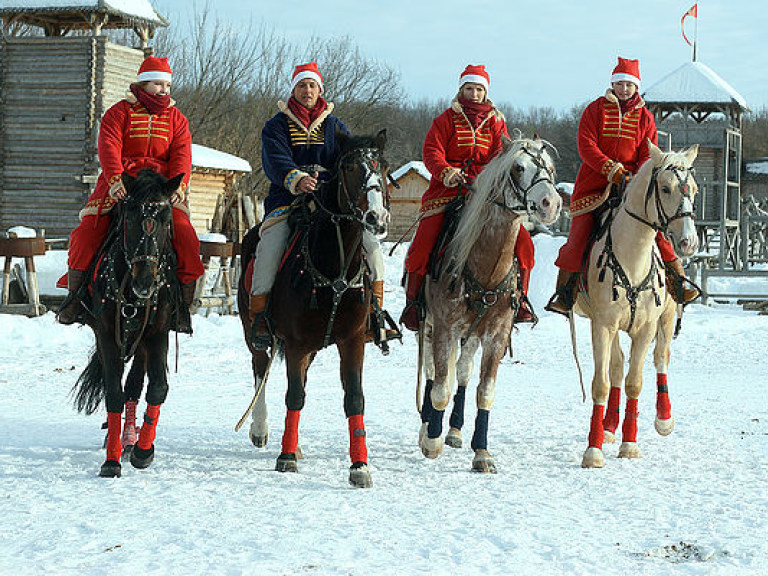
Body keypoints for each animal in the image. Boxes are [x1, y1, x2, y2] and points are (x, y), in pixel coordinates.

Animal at [236, 129, 390, 486]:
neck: (335, 271)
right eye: (349, 166)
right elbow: (294, 395)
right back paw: (261, 430)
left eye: (384, 166)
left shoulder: (351, 342)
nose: (376, 218)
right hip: (255, 335)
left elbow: (354, 398)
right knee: (260, 369)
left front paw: (359, 466)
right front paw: (286, 457)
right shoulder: (295, 343)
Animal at [416, 136, 560, 472]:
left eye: (549, 165)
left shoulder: (496, 335)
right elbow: (439, 387)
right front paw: (431, 440)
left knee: (463, 372)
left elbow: (485, 391)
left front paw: (481, 452)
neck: (485, 267)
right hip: (428, 326)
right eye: (519, 167)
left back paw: (454, 430)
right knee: (431, 373)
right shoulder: (444, 328)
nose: (551, 203)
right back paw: (428, 426)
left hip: (472, 335)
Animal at [576, 140, 696, 468]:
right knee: (616, 367)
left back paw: (663, 418)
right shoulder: (603, 325)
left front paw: (630, 444)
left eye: (693, 189)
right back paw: (608, 426)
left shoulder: (645, 329)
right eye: (665, 188)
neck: (632, 257)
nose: (689, 242)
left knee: (661, 358)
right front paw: (594, 449)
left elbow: (635, 382)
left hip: (666, 319)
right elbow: (604, 382)